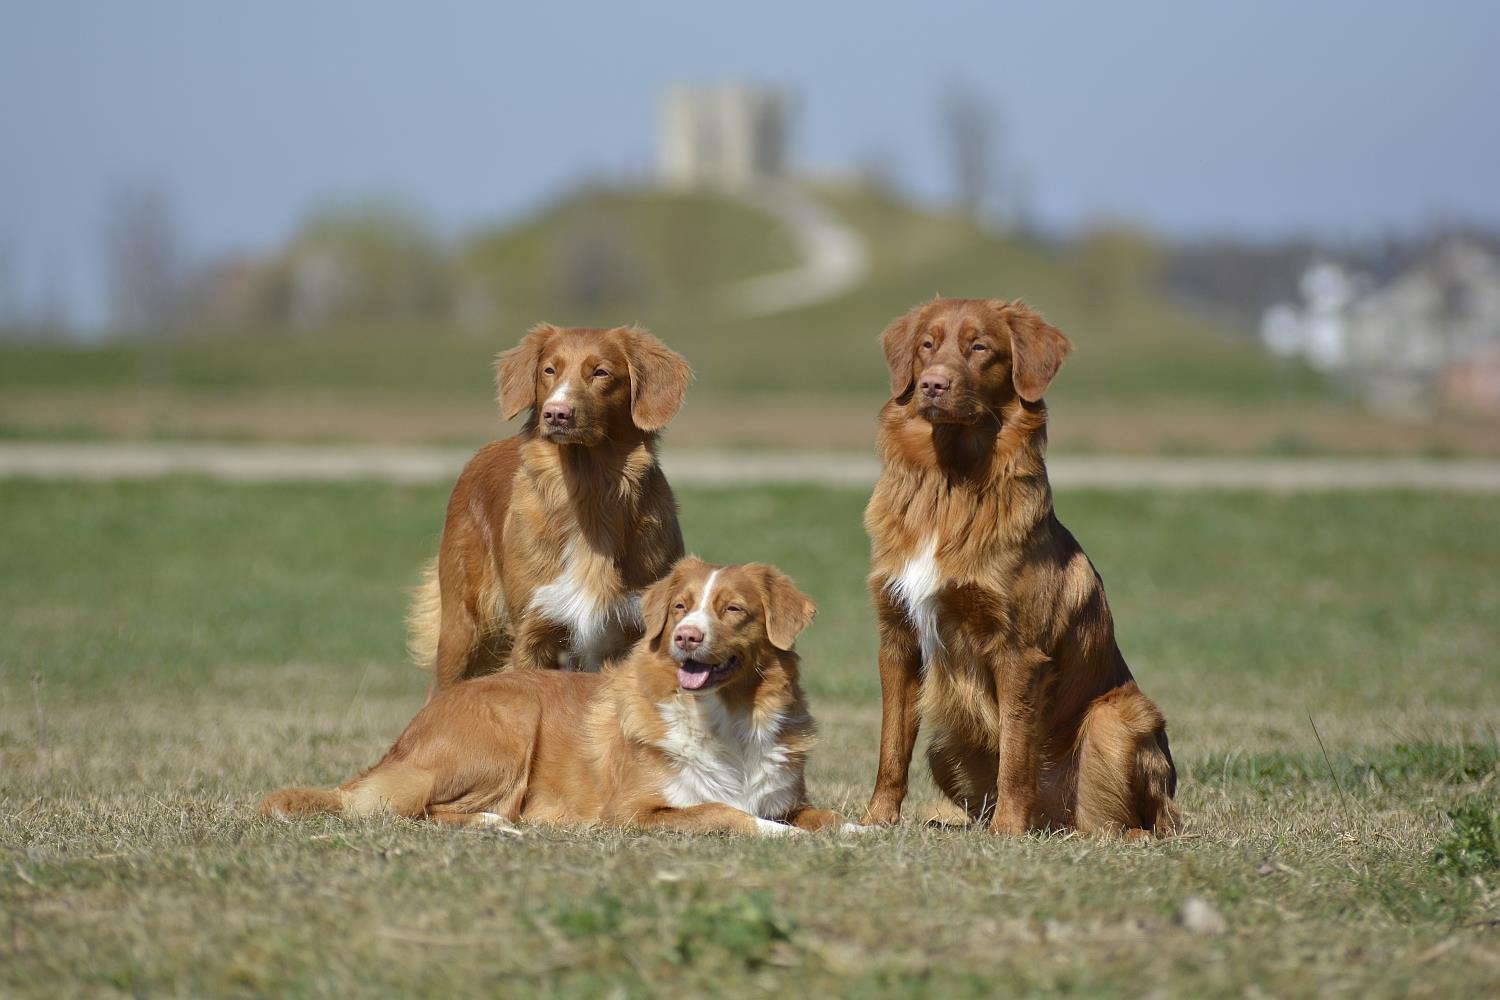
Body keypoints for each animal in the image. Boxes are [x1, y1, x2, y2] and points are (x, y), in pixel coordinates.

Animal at [267, 560, 846, 833]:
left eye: (733, 610)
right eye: (680, 607)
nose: (685, 637)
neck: (725, 719)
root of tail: (407, 737)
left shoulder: (787, 799)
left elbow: (827, 818)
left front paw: (856, 830)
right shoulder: (632, 812)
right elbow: (725, 813)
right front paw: (783, 837)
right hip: (512, 722)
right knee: (416, 808)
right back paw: (493, 822)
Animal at [411, 325, 690, 692]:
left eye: (601, 372)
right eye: (549, 370)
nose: (556, 413)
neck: (587, 495)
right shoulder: (534, 632)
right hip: (463, 632)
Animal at [864, 295, 1176, 839]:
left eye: (981, 347)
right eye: (927, 345)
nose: (932, 384)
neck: (951, 483)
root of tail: (1055, 822)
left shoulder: (1018, 651)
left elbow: (1015, 751)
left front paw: (1007, 831)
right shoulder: (897, 639)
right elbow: (891, 748)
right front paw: (874, 820)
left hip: (1118, 720)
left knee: (1126, 823)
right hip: (947, 746)